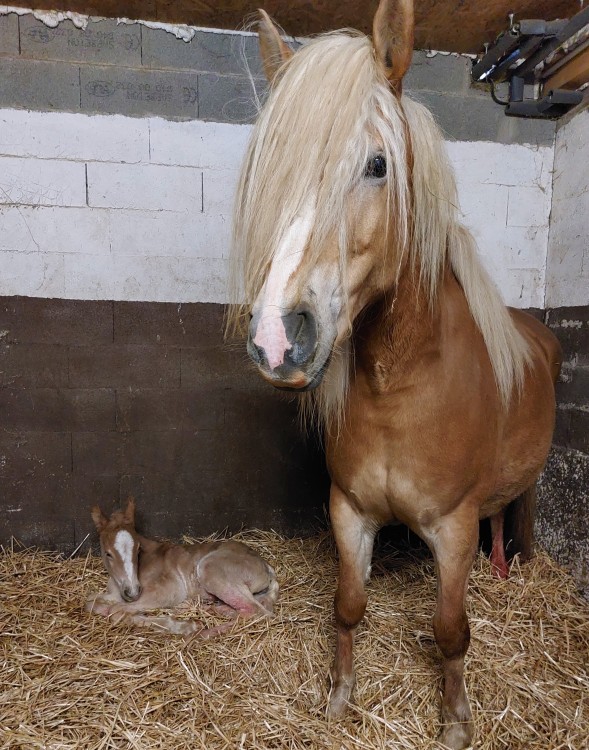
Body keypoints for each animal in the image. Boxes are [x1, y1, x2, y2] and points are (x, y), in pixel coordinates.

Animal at [88, 500, 280, 640]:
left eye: (138, 550)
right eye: (108, 553)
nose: (133, 591)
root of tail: (267, 567)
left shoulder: (167, 591)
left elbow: (116, 611)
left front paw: (185, 625)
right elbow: (92, 603)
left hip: (210, 568)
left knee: (258, 612)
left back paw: (203, 631)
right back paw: (210, 609)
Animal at [226, 2, 560, 748]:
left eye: (377, 165)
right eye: (272, 174)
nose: (275, 339)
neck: (401, 386)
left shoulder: (453, 530)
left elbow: (450, 630)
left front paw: (455, 723)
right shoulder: (349, 512)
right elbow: (348, 606)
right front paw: (338, 700)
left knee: (510, 518)